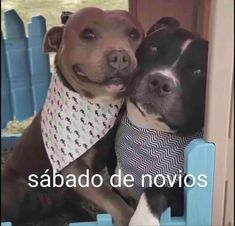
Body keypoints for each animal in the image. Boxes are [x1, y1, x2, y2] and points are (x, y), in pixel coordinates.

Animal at [1, 7, 143, 226]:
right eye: (88, 34)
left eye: (134, 34)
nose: (120, 56)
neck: (98, 105)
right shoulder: (73, 167)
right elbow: (108, 195)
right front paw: (128, 216)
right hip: (17, 187)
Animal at [111, 18, 208, 226]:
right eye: (154, 48)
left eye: (198, 71)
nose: (160, 82)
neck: (147, 130)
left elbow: (157, 189)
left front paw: (142, 220)